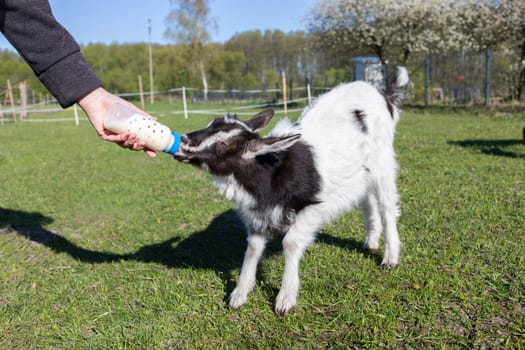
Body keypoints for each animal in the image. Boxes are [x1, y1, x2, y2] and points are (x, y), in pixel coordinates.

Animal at [173, 68, 410, 314]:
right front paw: (240, 293)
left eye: (223, 146)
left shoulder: (312, 207)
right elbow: (253, 248)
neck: (269, 173)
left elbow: (291, 243)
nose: (184, 140)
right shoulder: (258, 215)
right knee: (368, 201)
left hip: (383, 163)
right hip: (361, 175)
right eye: (210, 123)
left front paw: (285, 298)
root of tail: (381, 94)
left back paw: (390, 257)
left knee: (387, 207)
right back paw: (371, 241)